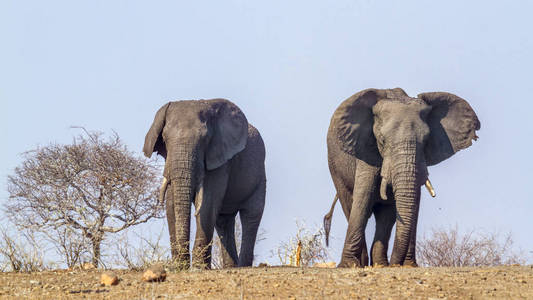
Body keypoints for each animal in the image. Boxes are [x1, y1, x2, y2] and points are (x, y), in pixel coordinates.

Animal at [142, 99, 264, 270]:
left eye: (205, 139)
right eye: (165, 138)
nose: (184, 264)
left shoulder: (220, 159)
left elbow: (207, 203)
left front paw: (198, 267)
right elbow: (171, 204)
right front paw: (179, 266)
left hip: (259, 174)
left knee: (251, 215)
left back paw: (243, 266)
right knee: (223, 220)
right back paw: (230, 267)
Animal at [322, 87, 480, 268]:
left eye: (426, 140)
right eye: (382, 140)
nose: (395, 264)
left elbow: (408, 202)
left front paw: (407, 266)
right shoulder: (366, 149)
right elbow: (363, 198)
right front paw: (349, 265)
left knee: (386, 214)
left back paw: (380, 264)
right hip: (335, 167)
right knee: (350, 204)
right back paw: (364, 263)